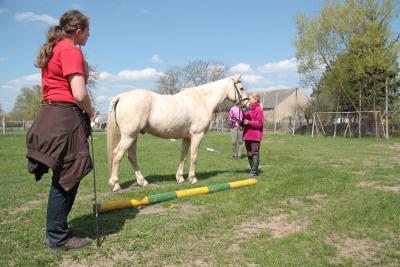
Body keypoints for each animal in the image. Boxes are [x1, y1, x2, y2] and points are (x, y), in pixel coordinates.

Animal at [106, 75, 247, 193]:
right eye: (241, 88)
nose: (247, 104)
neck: (201, 100)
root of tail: (121, 96)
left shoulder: (186, 138)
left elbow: (183, 157)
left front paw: (180, 178)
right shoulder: (197, 135)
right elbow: (194, 156)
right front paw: (192, 178)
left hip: (134, 136)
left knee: (132, 157)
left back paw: (143, 182)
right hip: (128, 136)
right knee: (117, 155)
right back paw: (116, 185)